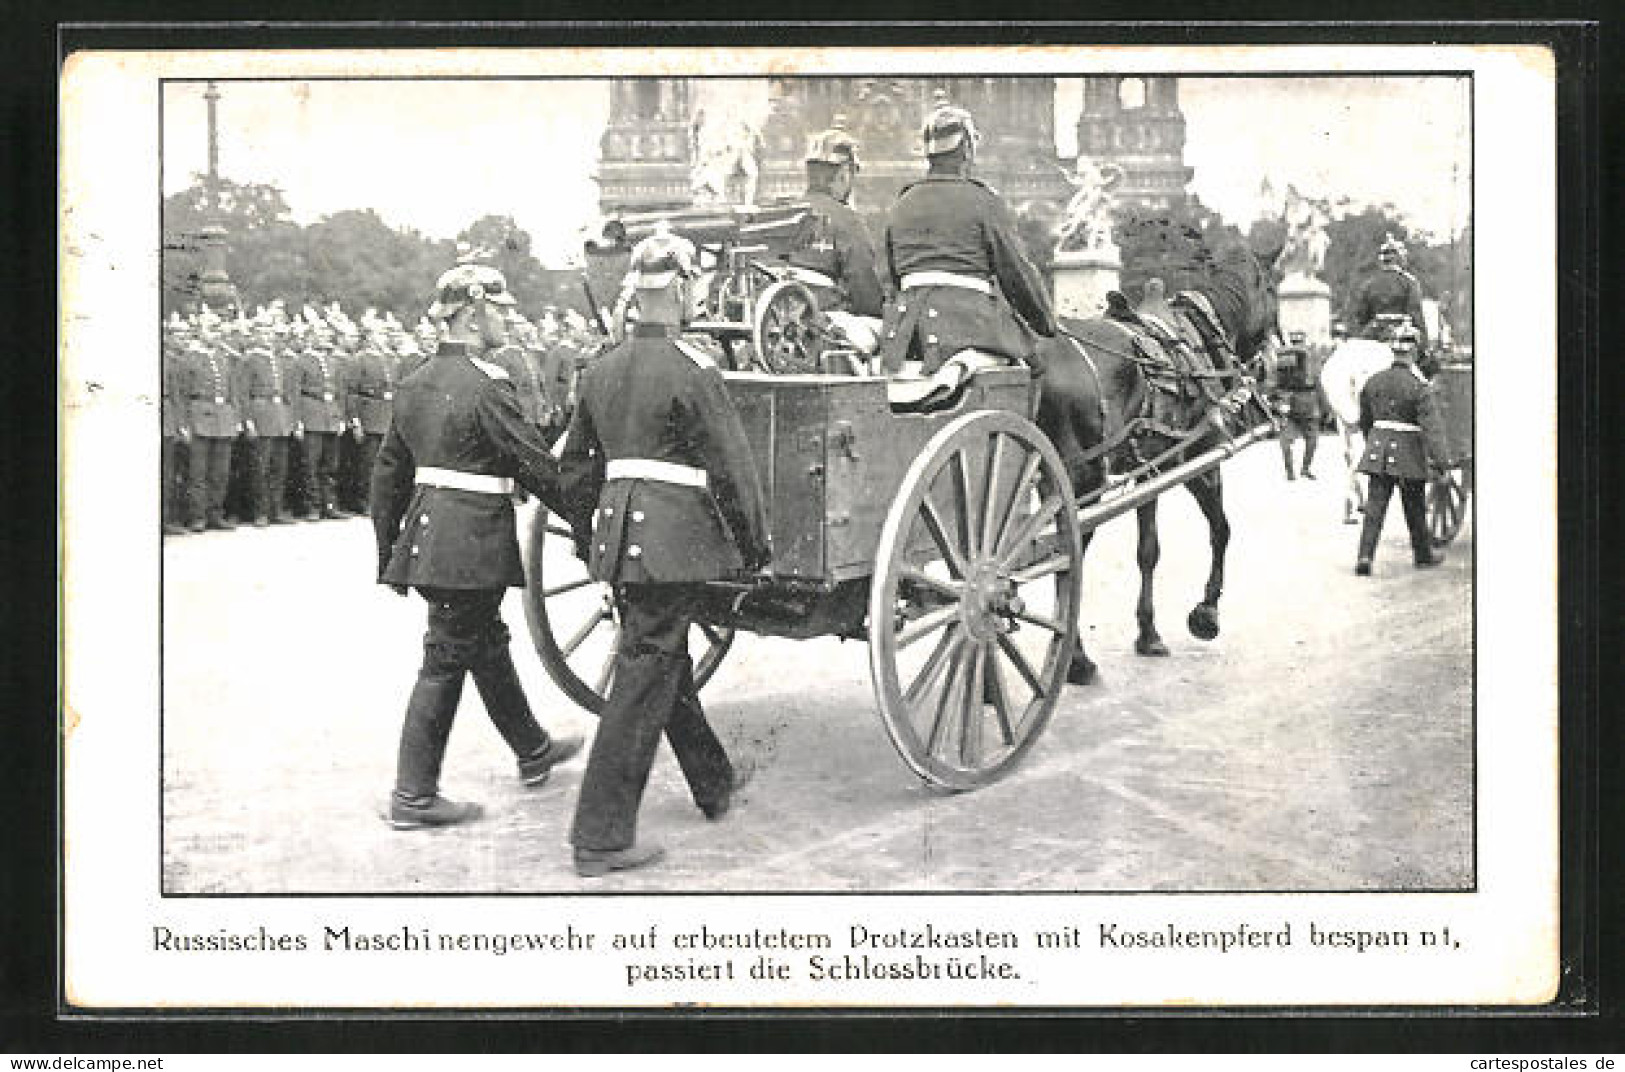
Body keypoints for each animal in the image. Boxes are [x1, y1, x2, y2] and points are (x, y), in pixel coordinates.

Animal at [1027, 235, 1280, 685]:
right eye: (1272, 289)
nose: (1273, 360)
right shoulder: (1198, 458)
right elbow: (1219, 531)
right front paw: (1205, 613)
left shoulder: (1148, 466)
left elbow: (1148, 550)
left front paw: (1148, 631)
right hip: (1083, 478)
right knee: (1069, 557)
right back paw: (1076, 659)